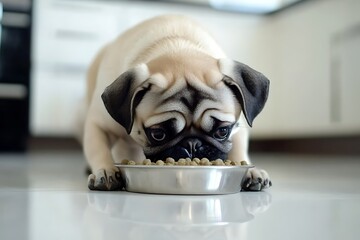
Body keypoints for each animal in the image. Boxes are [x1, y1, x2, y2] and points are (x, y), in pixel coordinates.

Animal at [83, 14, 272, 191]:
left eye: (222, 131)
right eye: (158, 134)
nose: (192, 145)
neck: (178, 47)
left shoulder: (238, 127)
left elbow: (238, 149)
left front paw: (250, 171)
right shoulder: (98, 125)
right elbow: (98, 148)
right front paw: (105, 170)